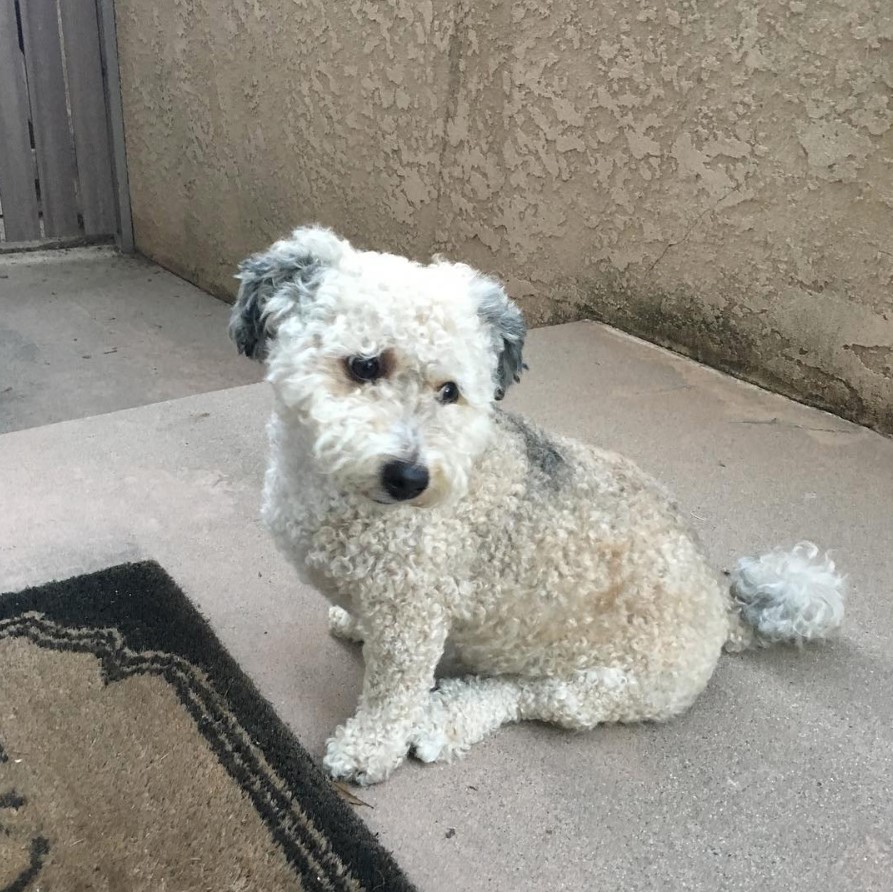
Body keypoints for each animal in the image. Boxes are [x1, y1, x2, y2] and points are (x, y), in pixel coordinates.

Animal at [228, 226, 844, 784]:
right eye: (364, 365)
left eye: (450, 391)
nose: (411, 478)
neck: (340, 496)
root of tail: (723, 608)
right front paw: (354, 623)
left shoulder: (413, 619)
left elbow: (391, 694)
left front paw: (369, 750)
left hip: (599, 686)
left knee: (521, 696)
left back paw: (441, 721)